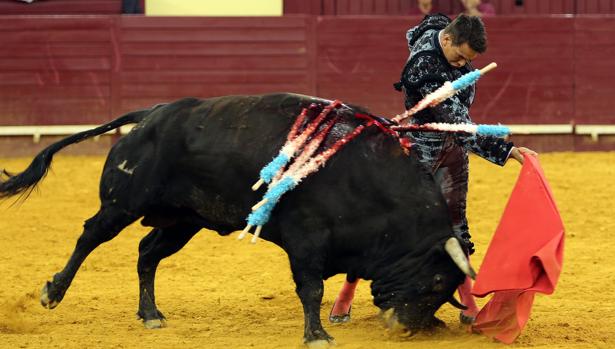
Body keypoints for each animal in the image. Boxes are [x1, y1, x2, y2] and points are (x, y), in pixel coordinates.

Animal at [0, 92, 472, 342]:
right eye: (434, 280)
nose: (405, 328)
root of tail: (151, 114)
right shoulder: (306, 239)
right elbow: (312, 287)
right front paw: (317, 336)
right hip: (123, 204)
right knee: (89, 237)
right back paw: (52, 292)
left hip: (183, 220)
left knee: (147, 253)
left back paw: (150, 313)